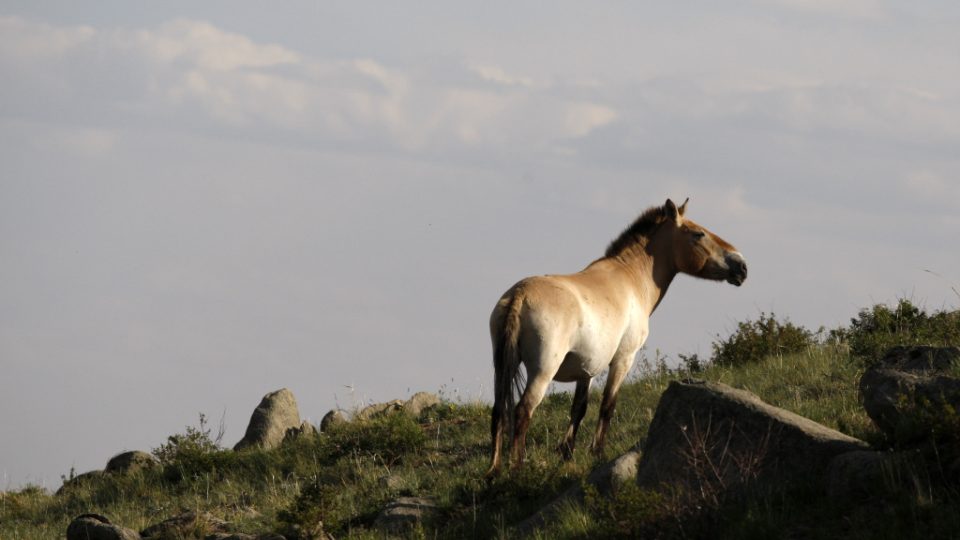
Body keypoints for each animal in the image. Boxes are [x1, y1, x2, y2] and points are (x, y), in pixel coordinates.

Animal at [488, 198, 752, 476]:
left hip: (503, 367)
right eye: (699, 234)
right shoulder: (623, 360)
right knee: (523, 411)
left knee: (498, 412)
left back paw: (493, 472)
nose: (742, 266)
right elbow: (607, 405)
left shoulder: (587, 369)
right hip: (542, 371)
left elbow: (579, 408)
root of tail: (519, 295)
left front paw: (567, 455)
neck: (631, 279)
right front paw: (597, 453)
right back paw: (517, 469)